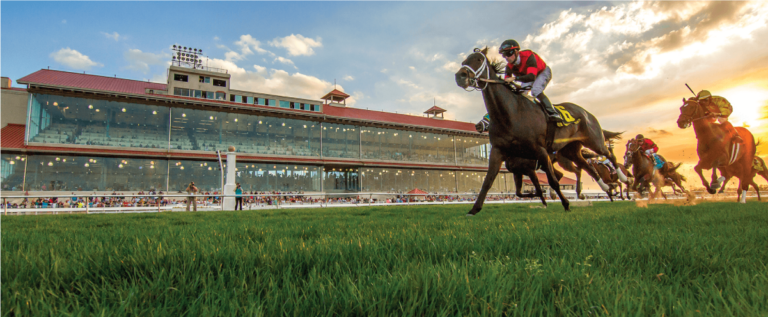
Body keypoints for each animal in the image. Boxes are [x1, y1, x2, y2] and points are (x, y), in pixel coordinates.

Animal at [456, 47, 624, 215]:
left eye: (478, 59)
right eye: (464, 62)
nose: (460, 76)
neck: (511, 114)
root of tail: (586, 112)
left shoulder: (539, 152)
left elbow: (552, 181)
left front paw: (565, 203)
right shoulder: (499, 152)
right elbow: (488, 181)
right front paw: (474, 209)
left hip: (593, 140)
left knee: (608, 155)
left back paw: (622, 178)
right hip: (570, 151)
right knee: (587, 167)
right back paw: (602, 188)